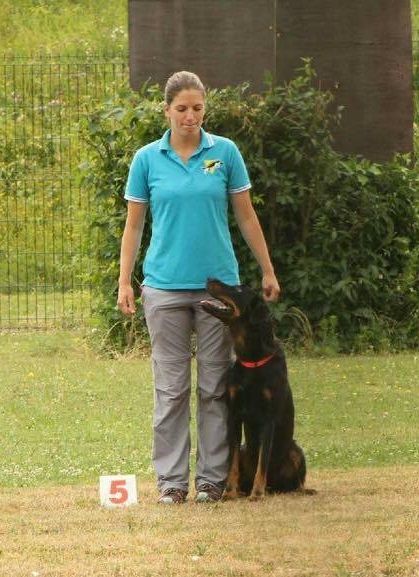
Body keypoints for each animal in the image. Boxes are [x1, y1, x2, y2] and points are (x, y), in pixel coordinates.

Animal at [202, 276, 314, 498]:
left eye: (238, 289)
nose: (209, 278)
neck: (252, 358)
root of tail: (276, 487)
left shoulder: (268, 418)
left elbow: (263, 461)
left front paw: (257, 493)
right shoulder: (234, 416)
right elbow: (232, 462)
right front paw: (229, 493)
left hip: (296, 450)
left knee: (297, 480)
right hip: (246, 448)